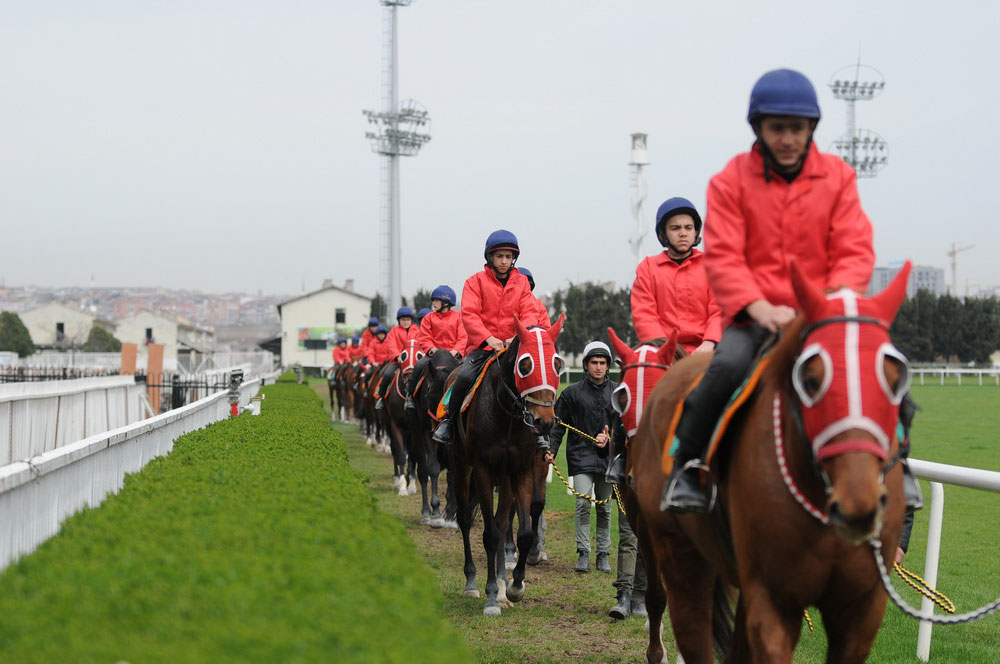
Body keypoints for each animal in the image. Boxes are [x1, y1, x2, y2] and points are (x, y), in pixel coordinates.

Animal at [402, 348, 460, 528]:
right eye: (428, 394)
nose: (438, 427)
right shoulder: (427, 435)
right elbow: (433, 468)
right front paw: (436, 514)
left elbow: (453, 472)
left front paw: (451, 515)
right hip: (417, 434)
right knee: (422, 471)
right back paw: (426, 512)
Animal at [452, 314, 564, 616]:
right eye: (525, 365)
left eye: (557, 364)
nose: (544, 421)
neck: (506, 414)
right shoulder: (482, 470)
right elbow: (490, 535)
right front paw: (491, 595)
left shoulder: (520, 469)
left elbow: (522, 532)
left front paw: (514, 586)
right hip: (462, 465)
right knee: (465, 519)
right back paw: (472, 582)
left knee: (503, 523)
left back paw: (503, 586)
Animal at [632, 264, 916, 664]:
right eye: (811, 379)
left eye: (894, 379)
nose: (858, 503)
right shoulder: (773, 599)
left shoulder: (863, 608)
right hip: (677, 547)